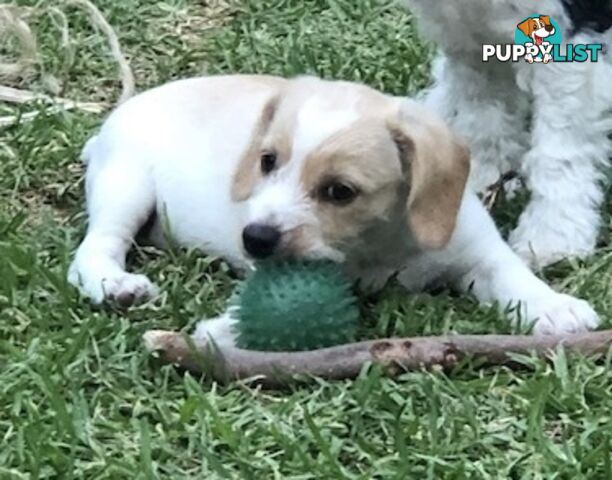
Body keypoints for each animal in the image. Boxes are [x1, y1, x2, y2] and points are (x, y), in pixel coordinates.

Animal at [68, 74, 596, 344]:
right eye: (267, 161)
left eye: (340, 191)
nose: (254, 239)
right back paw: (114, 284)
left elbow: (515, 277)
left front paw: (554, 307)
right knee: (93, 249)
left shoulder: (479, 250)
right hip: (126, 184)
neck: (382, 243)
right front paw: (223, 329)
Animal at [402, 0, 612, 268]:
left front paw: (552, 233)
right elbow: (484, 113)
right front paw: (484, 182)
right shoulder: (470, 38)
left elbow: (559, 147)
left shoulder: (573, 25)